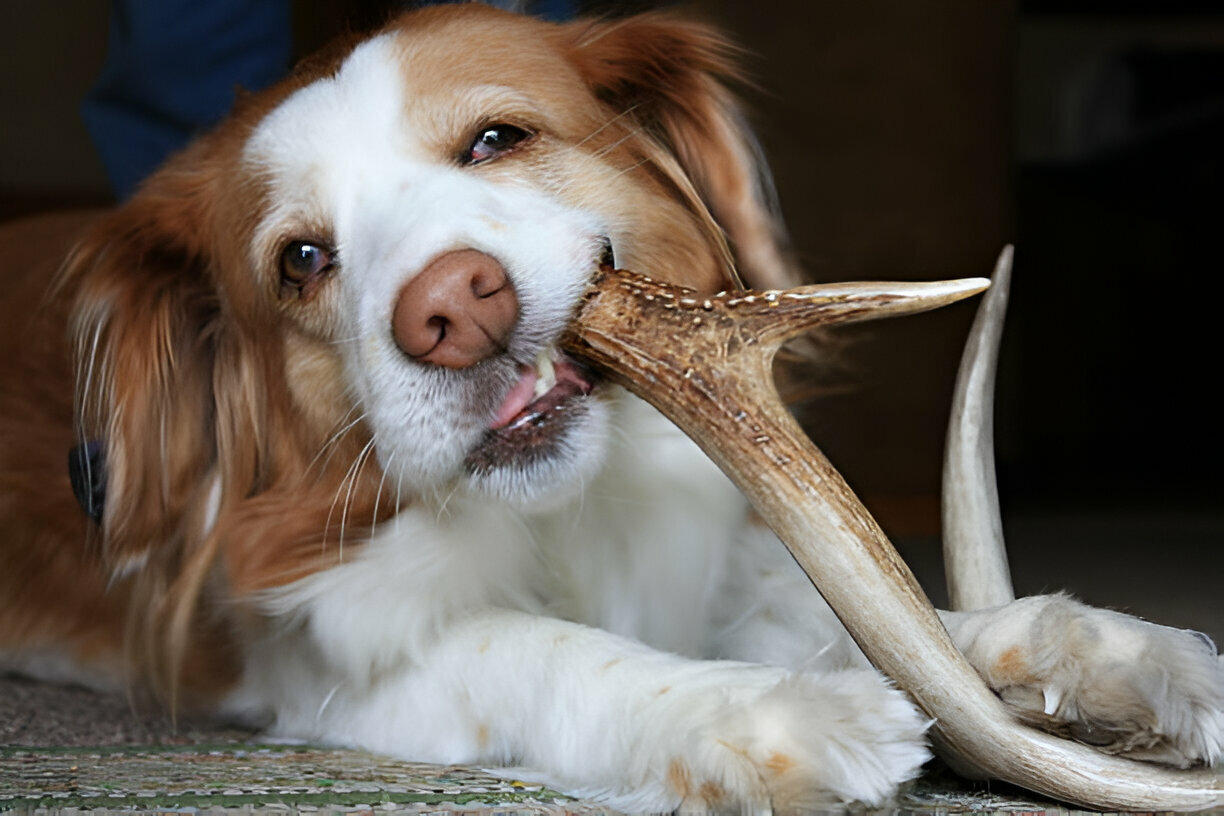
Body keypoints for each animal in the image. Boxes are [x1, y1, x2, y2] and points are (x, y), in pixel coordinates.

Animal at [2, 4, 1224, 812]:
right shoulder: (337, 658)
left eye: (497, 138)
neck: (570, 512)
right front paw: (768, 712)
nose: (452, 309)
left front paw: (1106, 652)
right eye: (301, 260)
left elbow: (884, 618)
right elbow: (541, 650)